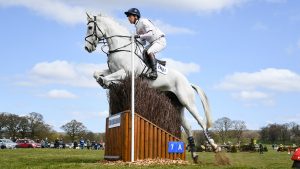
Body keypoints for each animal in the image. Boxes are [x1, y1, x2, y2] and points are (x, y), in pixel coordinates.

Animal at [84, 12, 220, 160]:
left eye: (90, 27)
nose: (87, 48)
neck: (121, 47)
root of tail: (187, 82)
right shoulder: (113, 71)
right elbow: (96, 74)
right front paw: (104, 82)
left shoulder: (125, 72)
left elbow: (105, 77)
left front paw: (105, 82)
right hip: (178, 106)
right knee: (188, 126)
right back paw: (194, 154)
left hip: (187, 101)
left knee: (201, 122)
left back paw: (214, 146)